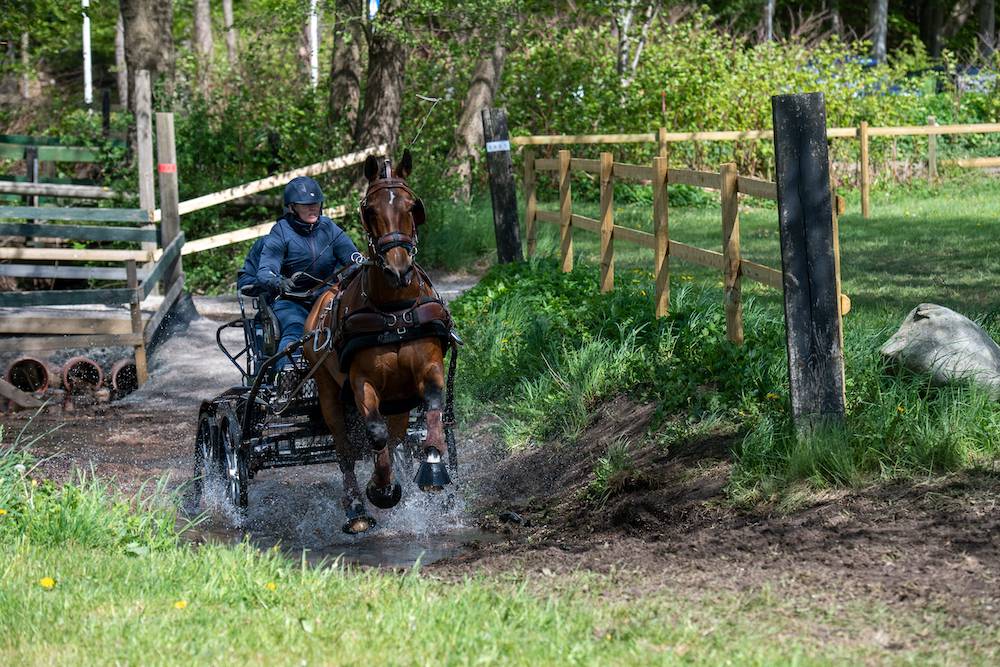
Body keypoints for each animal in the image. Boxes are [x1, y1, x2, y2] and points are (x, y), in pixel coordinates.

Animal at [304, 150, 454, 534]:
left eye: (412, 206)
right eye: (369, 210)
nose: (398, 269)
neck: (394, 312)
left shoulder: (429, 368)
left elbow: (433, 409)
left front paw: (433, 467)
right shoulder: (362, 382)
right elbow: (374, 433)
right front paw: (382, 488)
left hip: (398, 400)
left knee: (398, 436)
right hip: (329, 392)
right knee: (345, 450)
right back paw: (356, 509)